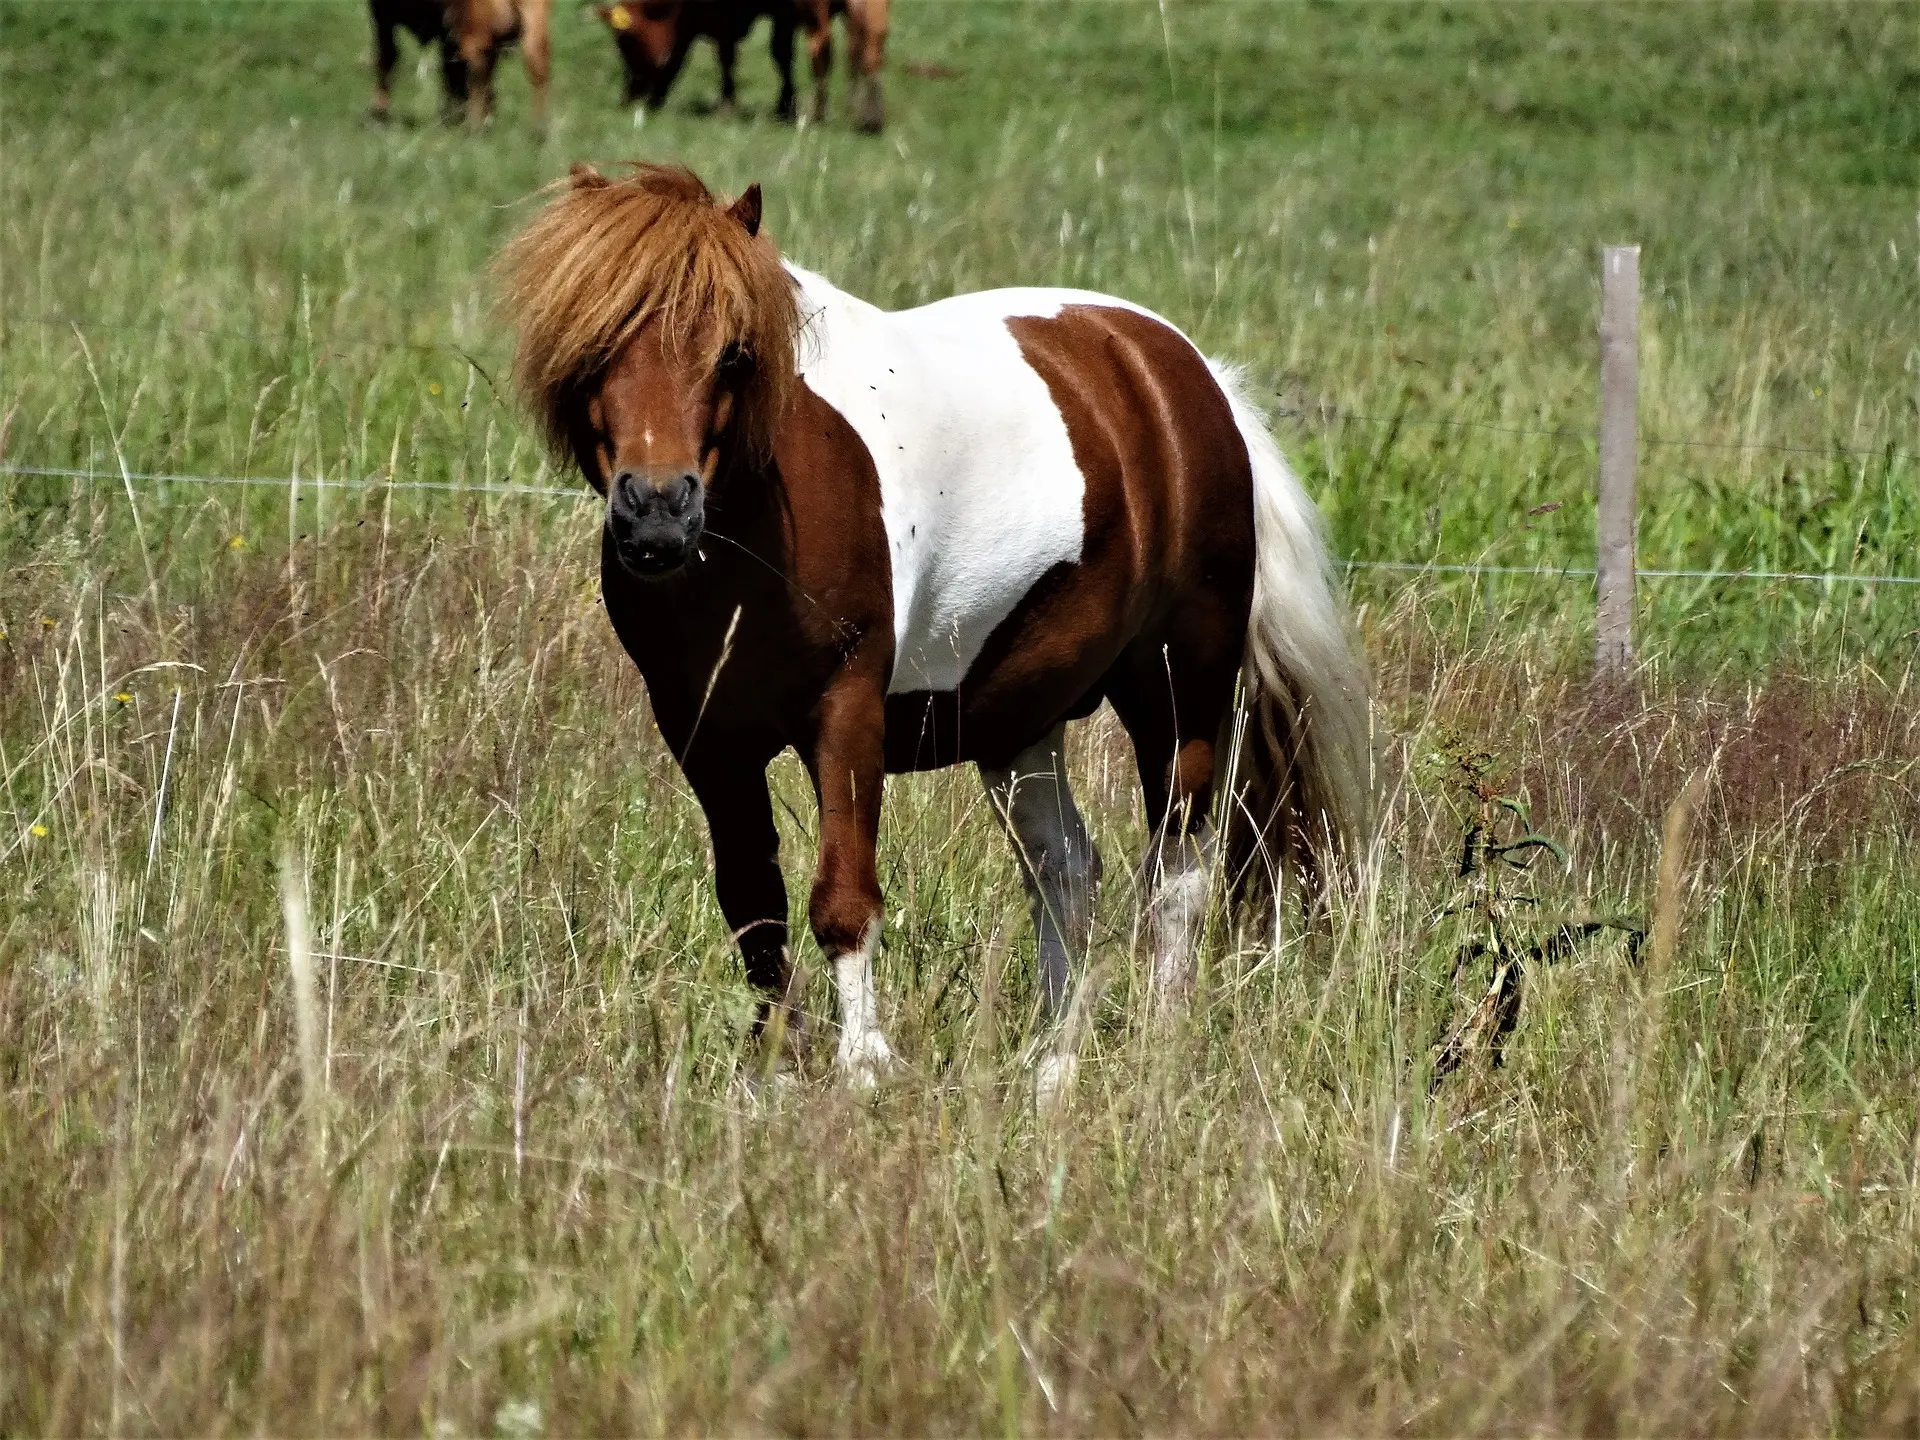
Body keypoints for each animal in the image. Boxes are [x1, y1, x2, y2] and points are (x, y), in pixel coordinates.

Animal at [495, 166, 1367, 1090]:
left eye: (734, 352)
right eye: (593, 347)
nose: (658, 513)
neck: (758, 522)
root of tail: (1187, 375)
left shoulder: (846, 713)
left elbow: (843, 899)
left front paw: (863, 1068)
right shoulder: (706, 737)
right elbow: (752, 905)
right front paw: (776, 1069)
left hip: (1181, 692)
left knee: (1178, 873)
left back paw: (1157, 1051)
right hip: (1021, 721)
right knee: (1066, 871)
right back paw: (1050, 1066)